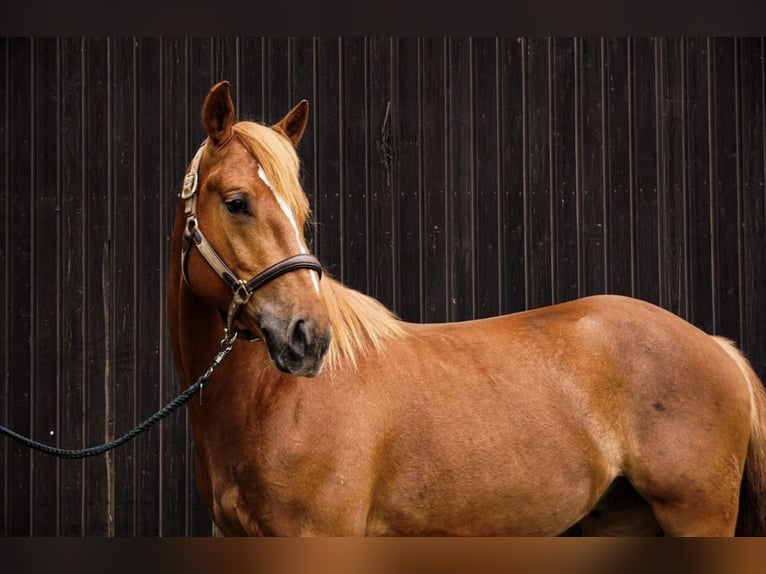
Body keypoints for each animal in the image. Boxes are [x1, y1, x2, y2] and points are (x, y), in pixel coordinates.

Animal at [168, 81, 766, 540]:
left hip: (697, 518)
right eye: (237, 202)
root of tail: (718, 348)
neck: (272, 404)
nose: (308, 338)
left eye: (300, 209)